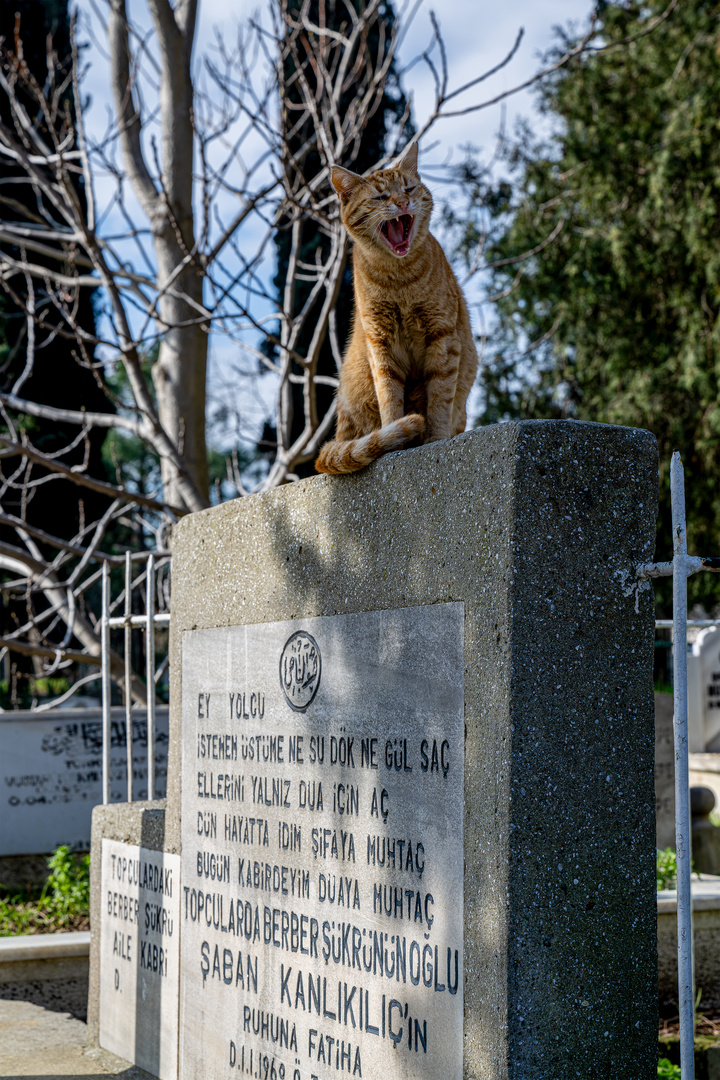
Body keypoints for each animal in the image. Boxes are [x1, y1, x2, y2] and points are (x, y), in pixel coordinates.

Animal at [315, 144, 479, 477]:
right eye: (380, 197)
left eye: (408, 189)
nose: (402, 202)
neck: (398, 278)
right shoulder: (380, 342)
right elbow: (389, 396)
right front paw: (394, 440)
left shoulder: (443, 335)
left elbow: (440, 396)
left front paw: (436, 439)